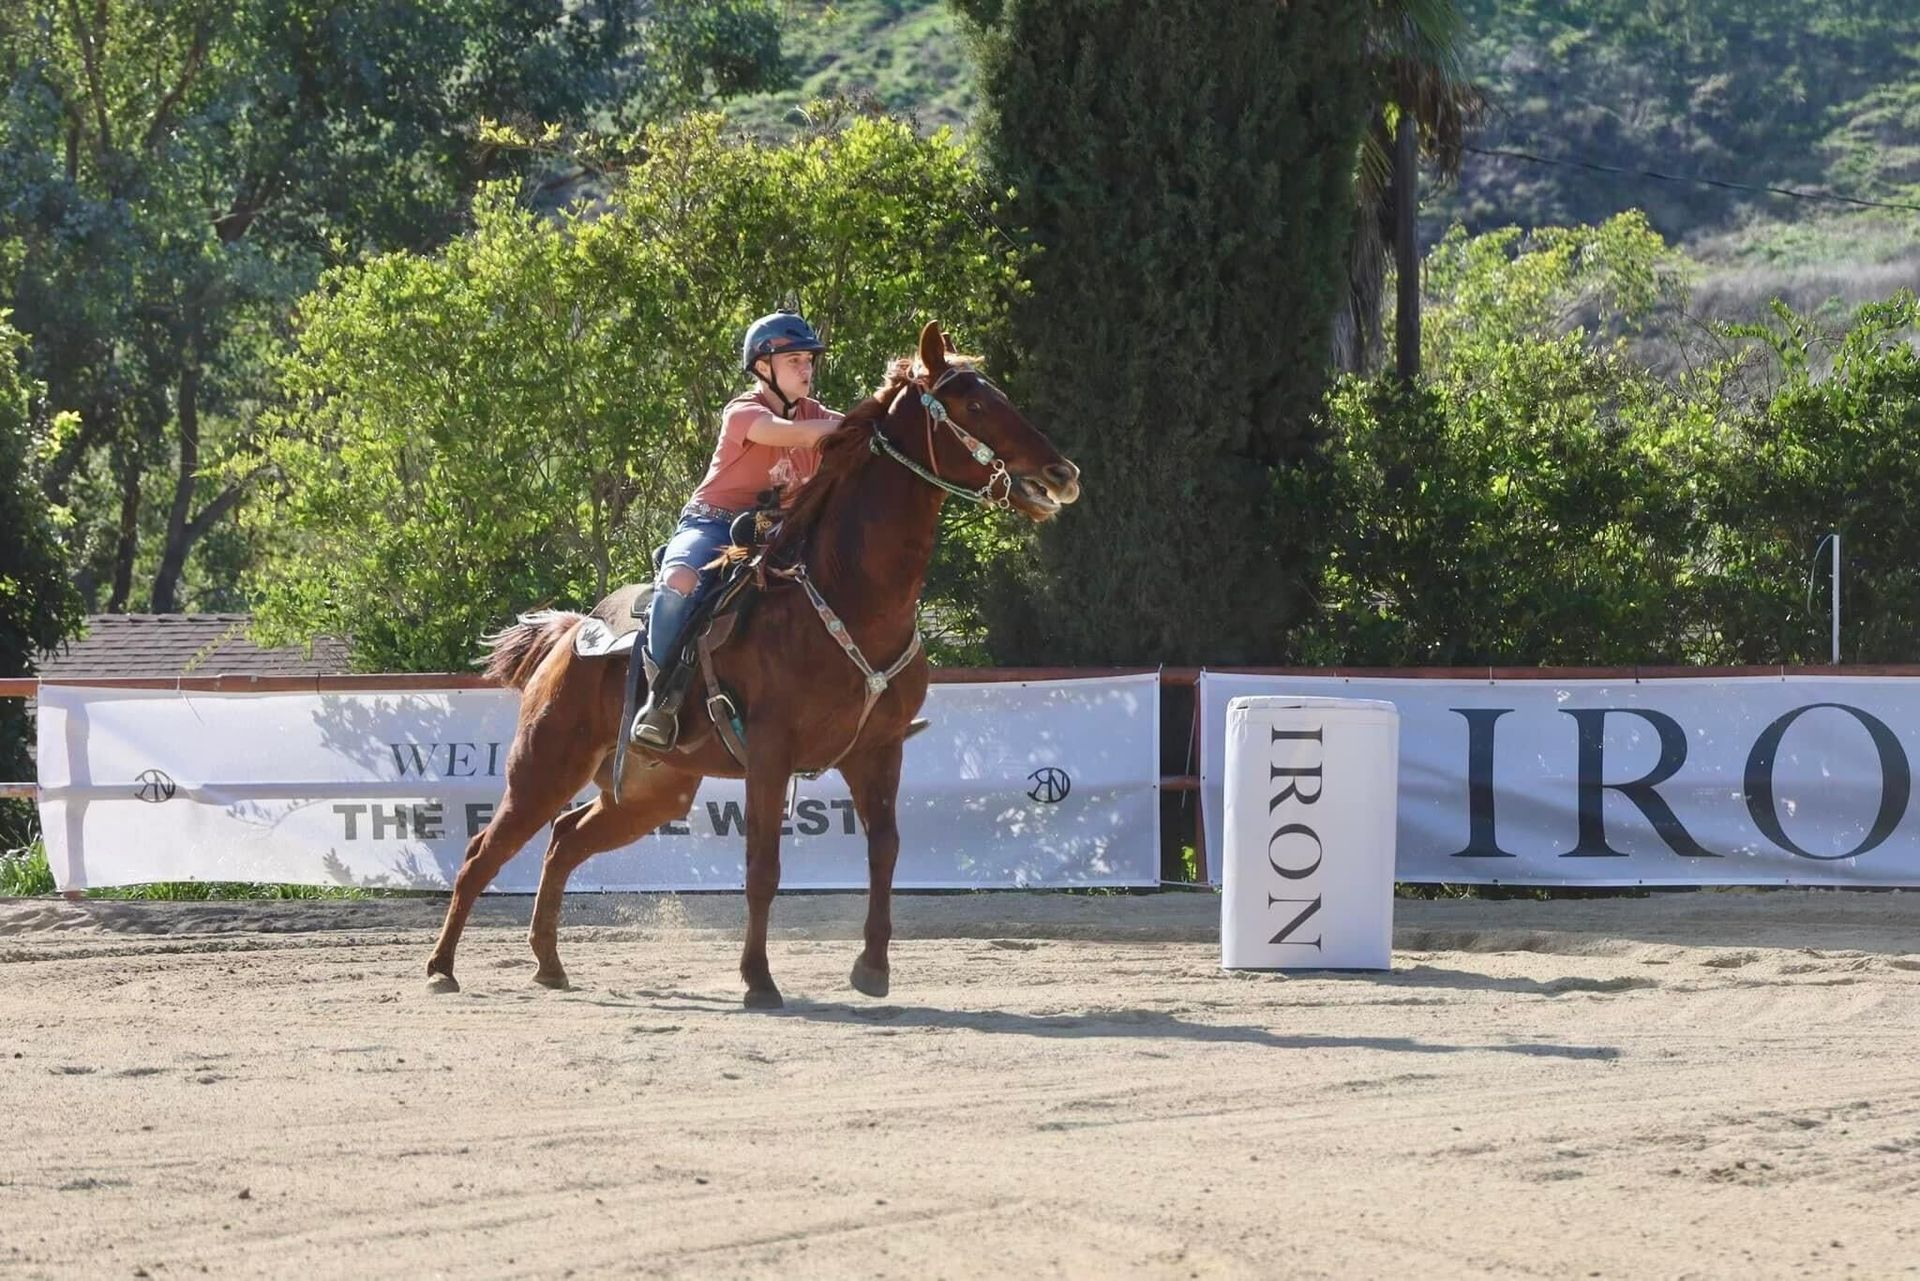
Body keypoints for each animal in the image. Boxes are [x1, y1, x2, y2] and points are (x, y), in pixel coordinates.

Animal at [424, 321, 1081, 1007]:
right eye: (974, 404)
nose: (1061, 474)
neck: (851, 598)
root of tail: (570, 633)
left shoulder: (878, 752)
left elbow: (885, 851)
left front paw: (872, 968)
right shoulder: (770, 755)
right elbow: (763, 868)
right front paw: (759, 980)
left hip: (650, 794)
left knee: (564, 840)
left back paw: (549, 964)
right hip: (542, 768)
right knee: (483, 851)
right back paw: (442, 968)